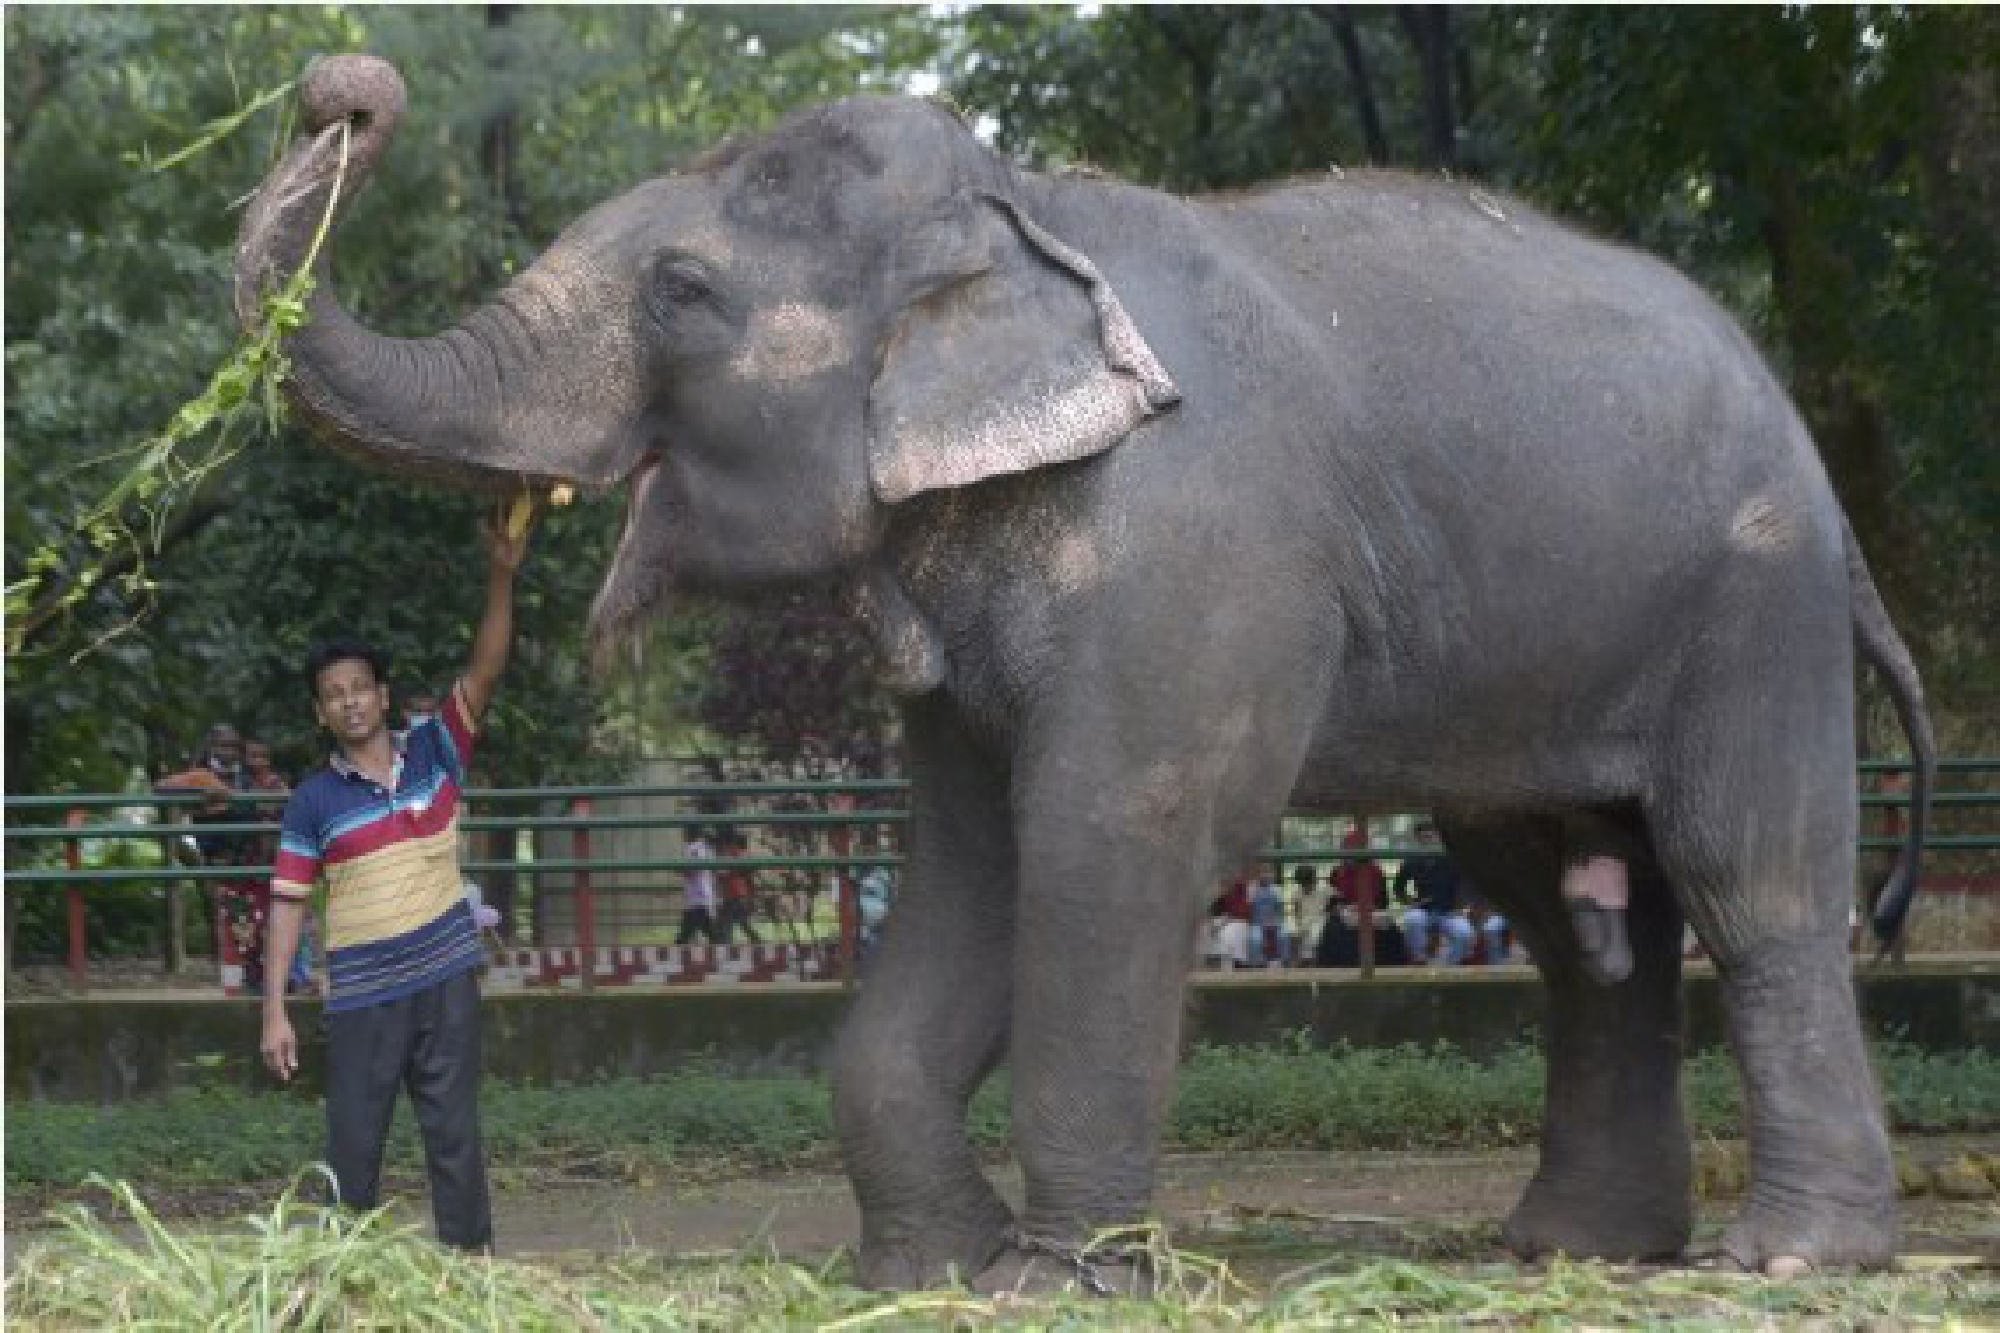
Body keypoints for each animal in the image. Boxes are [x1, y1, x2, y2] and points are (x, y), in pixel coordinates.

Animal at [236, 55, 1937, 1288]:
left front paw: (1061, 1279)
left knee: (1747, 874)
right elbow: (972, 863)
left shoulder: (1188, 550)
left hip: (1753, 598)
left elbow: (1107, 836)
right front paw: (933, 1271)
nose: (345, 87)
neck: (1022, 214)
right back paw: (1573, 1250)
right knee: (1576, 908)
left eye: (683, 296)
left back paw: (1790, 1259)